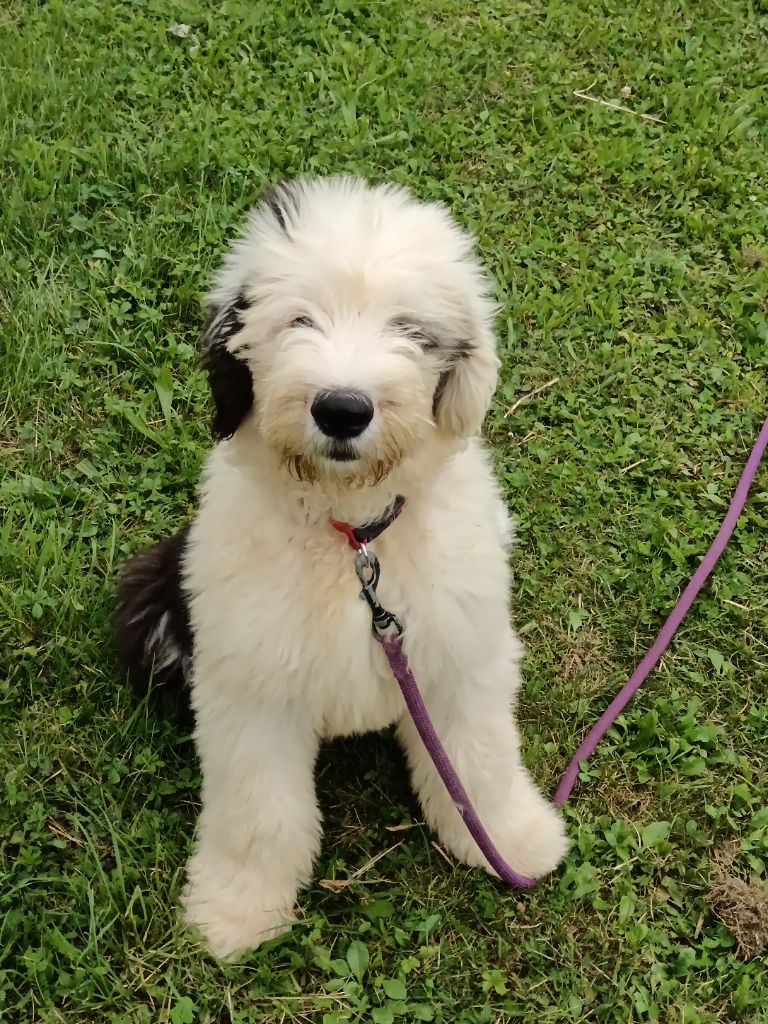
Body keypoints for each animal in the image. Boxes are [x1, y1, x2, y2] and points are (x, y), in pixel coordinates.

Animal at [115, 176, 568, 958]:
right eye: (298, 318)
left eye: (410, 329)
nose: (343, 409)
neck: (354, 540)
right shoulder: (251, 684)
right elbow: (258, 809)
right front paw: (238, 910)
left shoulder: (460, 656)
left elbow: (477, 763)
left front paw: (510, 841)